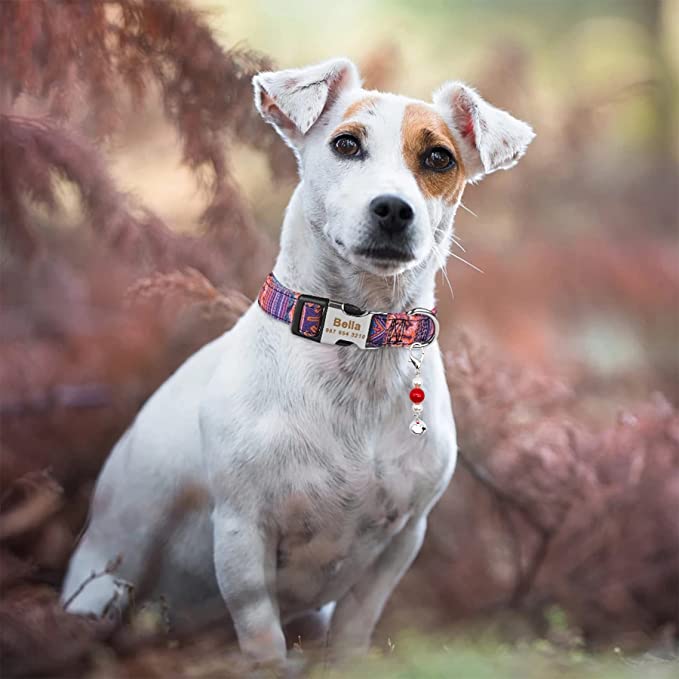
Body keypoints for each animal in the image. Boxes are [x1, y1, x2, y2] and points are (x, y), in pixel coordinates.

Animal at [61, 58, 532, 668]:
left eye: (438, 158)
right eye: (346, 143)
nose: (393, 208)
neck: (355, 339)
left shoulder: (401, 541)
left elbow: (355, 628)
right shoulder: (242, 533)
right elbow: (261, 633)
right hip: (104, 591)